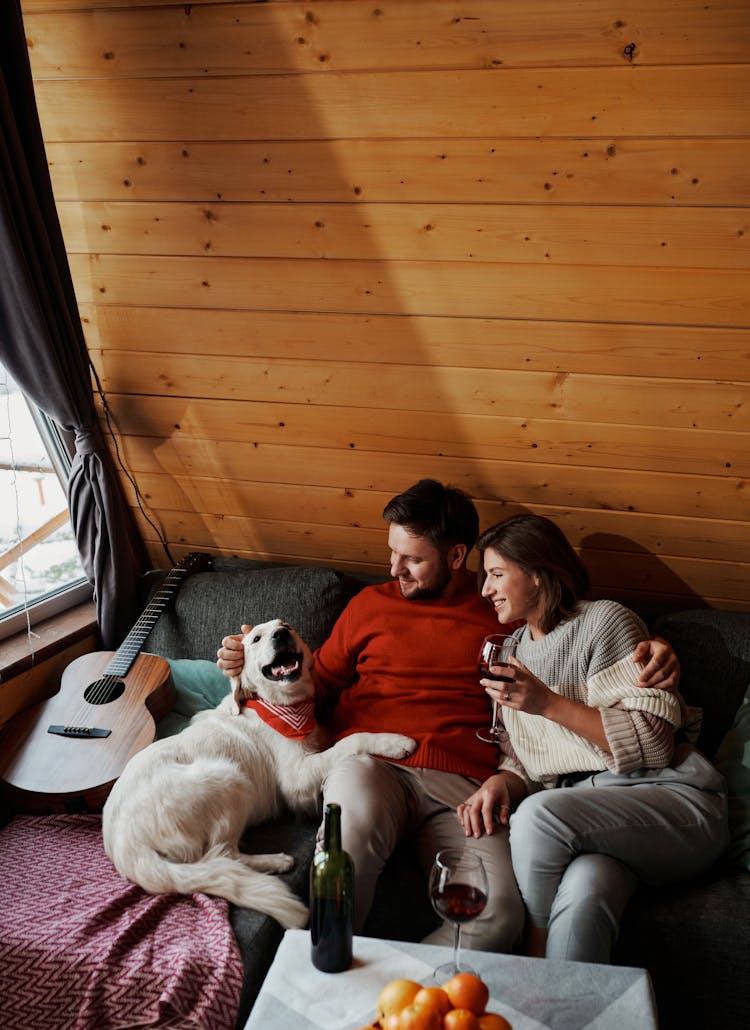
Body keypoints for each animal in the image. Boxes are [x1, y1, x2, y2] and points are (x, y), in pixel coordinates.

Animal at [101, 622, 412, 931]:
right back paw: (275, 861)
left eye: (287, 627)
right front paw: (394, 742)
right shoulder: (296, 780)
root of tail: (124, 844)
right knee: (223, 855)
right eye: (256, 639)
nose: (281, 634)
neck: (282, 706)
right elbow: (351, 741)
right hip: (230, 777)